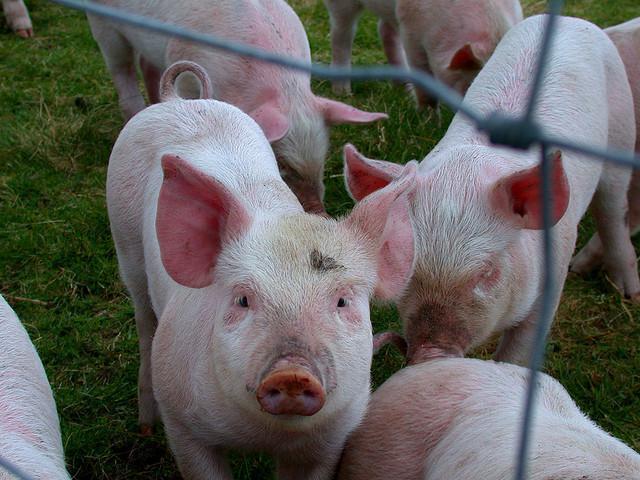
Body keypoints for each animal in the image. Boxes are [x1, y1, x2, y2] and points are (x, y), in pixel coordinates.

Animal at [88, 0, 387, 214]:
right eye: (280, 163)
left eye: (324, 156)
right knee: (122, 69)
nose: (319, 211)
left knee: (147, 65)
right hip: (104, 26)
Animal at [106, 61, 417, 479]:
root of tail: (179, 101)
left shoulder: (330, 441)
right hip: (125, 242)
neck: (263, 437)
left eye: (342, 302)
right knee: (143, 320)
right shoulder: (184, 426)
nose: (292, 373)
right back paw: (144, 425)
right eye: (242, 299)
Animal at [324, 0, 523, 105]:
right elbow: (425, 87)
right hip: (341, 6)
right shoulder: (411, 31)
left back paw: (403, 87)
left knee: (384, 30)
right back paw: (343, 93)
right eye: (470, 86)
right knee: (340, 35)